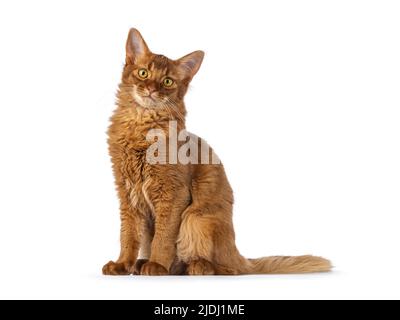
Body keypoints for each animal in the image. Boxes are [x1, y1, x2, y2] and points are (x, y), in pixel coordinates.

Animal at [103, 28, 332, 276]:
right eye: (143, 73)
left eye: (167, 81)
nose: (152, 90)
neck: (141, 126)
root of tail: (238, 256)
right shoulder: (126, 193)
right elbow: (128, 235)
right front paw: (122, 264)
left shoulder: (173, 194)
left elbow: (163, 238)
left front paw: (157, 265)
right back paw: (141, 264)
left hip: (195, 218)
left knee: (224, 268)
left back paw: (194, 266)